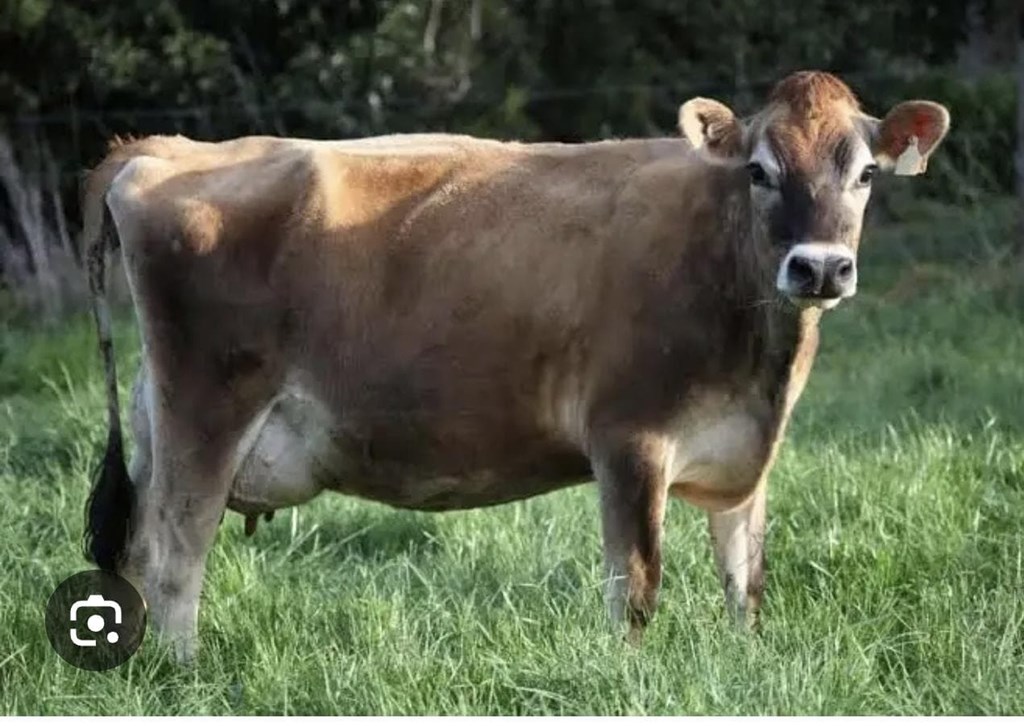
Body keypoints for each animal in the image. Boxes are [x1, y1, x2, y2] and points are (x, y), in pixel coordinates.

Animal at [81, 71, 950, 661]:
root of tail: (162, 150)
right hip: (206, 406)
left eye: (865, 173)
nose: (820, 268)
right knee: (174, 550)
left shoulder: (746, 455)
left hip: (161, 415)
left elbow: (746, 582)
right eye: (759, 171)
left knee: (136, 550)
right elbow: (636, 587)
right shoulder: (629, 439)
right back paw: (184, 674)